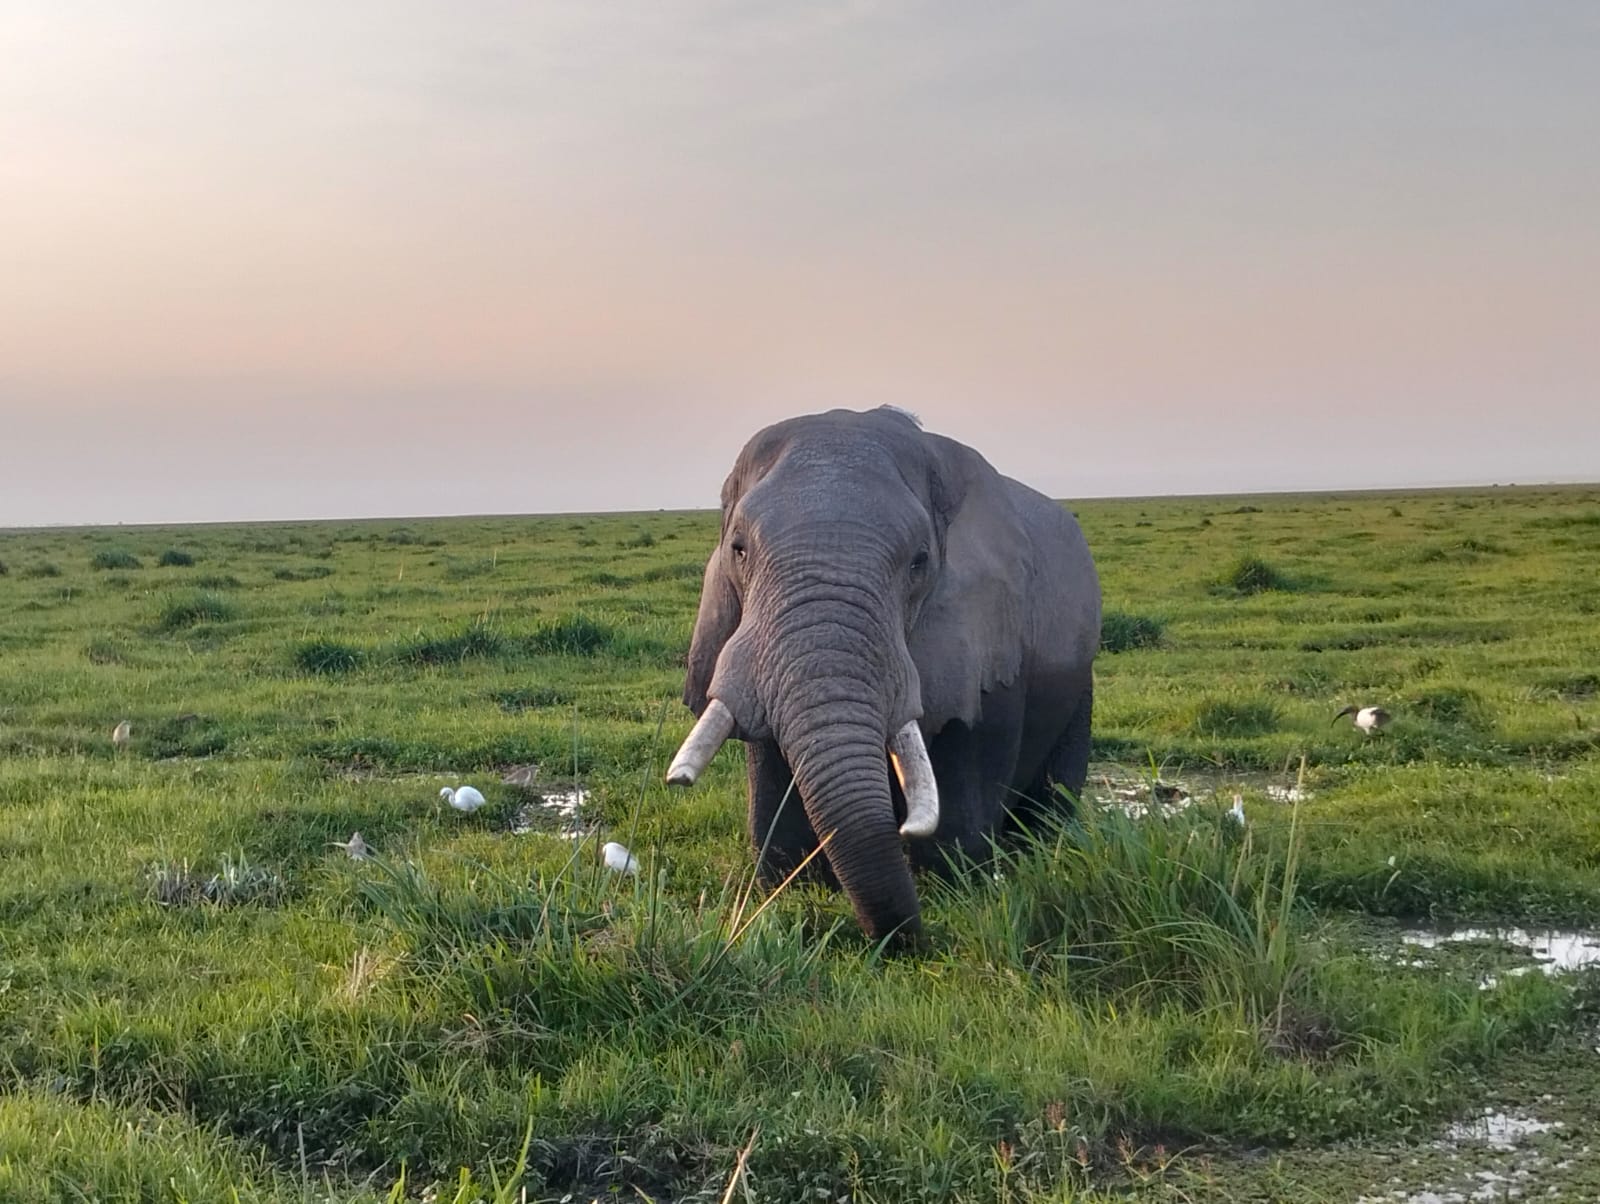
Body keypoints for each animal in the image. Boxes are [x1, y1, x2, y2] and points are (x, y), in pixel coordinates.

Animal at [666, 406, 1101, 941]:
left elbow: (960, 797)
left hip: (1079, 680)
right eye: (738, 550)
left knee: (1051, 800)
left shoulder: (986, 639)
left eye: (920, 562)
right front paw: (791, 888)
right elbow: (772, 782)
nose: (907, 943)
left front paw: (955, 886)